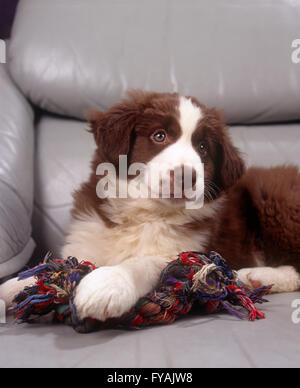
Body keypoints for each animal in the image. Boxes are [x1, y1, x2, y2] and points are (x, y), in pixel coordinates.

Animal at [0, 91, 300, 322]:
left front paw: (107, 283)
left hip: (275, 197)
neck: (146, 212)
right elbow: (53, 268)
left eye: (203, 147)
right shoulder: (88, 237)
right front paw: (15, 286)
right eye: (159, 136)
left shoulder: (189, 252)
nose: (187, 176)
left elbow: (145, 263)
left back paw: (255, 276)